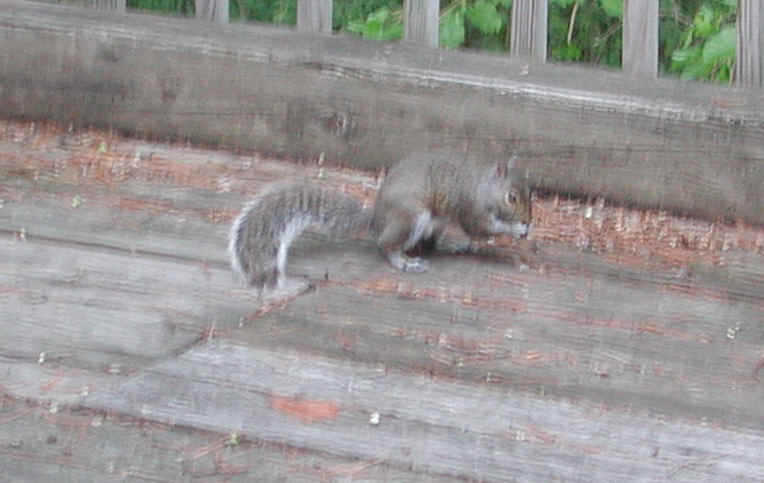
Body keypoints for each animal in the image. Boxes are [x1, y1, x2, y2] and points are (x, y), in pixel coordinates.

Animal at [228, 151, 532, 294]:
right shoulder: (471, 208)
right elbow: (481, 228)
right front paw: (516, 229)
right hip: (410, 218)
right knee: (386, 245)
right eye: (512, 197)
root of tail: (376, 220)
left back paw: (450, 246)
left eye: (531, 192)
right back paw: (404, 262)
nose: (529, 221)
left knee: (430, 244)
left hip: (432, 223)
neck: (483, 186)